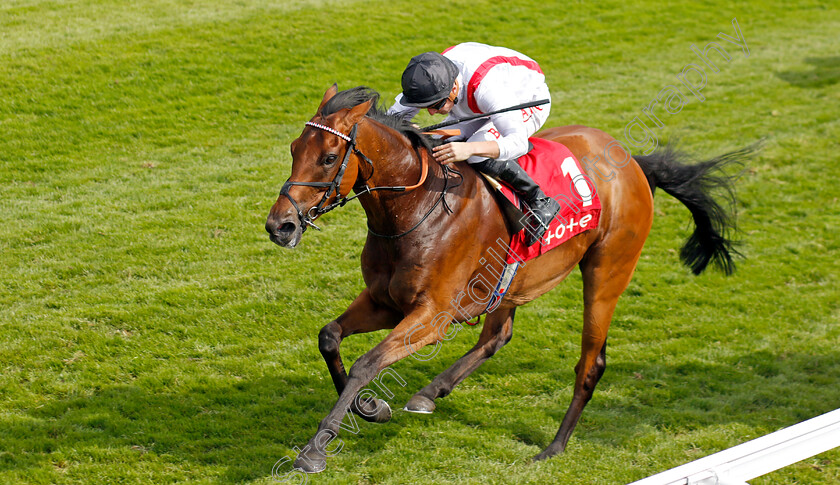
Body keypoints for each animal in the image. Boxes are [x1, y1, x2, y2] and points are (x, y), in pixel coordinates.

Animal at [266, 85, 744, 470]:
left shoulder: (432, 315)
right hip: (510, 284)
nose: (280, 226)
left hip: (607, 272)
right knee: (496, 336)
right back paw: (430, 392)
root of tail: (634, 163)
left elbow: (367, 362)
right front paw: (369, 407)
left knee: (590, 364)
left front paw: (315, 450)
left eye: (329, 158)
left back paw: (554, 447)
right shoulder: (385, 301)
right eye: (293, 149)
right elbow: (329, 337)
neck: (414, 211)